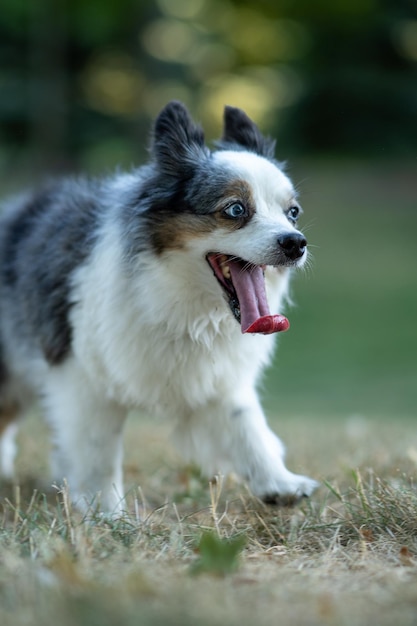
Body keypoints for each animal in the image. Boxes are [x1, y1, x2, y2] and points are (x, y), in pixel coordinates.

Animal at [0, 101, 316, 512]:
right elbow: (98, 451)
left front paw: (280, 483)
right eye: (235, 210)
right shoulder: (82, 377)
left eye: (292, 212)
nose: (296, 243)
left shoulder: (219, 377)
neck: (177, 295)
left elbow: (246, 425)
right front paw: (106, 512)